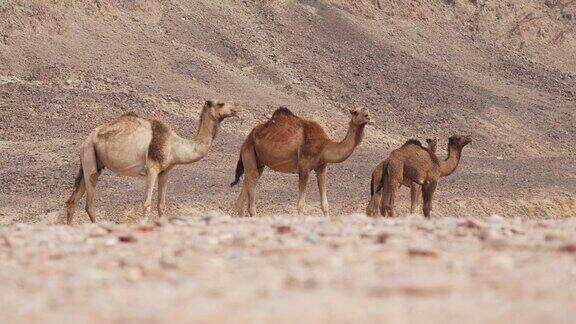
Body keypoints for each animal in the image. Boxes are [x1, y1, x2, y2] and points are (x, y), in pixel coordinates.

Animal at [65, 100, 238, 224]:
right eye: (221, 103)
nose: (236, 109)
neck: (173, 145)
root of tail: (87, 139)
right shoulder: (152, 169)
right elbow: (146, 204)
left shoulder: (165, 171)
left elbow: (161, 205)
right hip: (90, 154)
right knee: (89, 204)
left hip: (90, 160)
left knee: (72, 201)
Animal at [232, 107, 372, 218]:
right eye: (355, 112)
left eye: (367, 111)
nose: (368, 117)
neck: (324, 146)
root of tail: (248, 137)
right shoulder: (304, 168)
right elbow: (301, 205)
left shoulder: (322, 167)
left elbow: (325, 204)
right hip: (248, 150)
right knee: (252, 182)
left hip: (259, 162)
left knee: (247, 186)